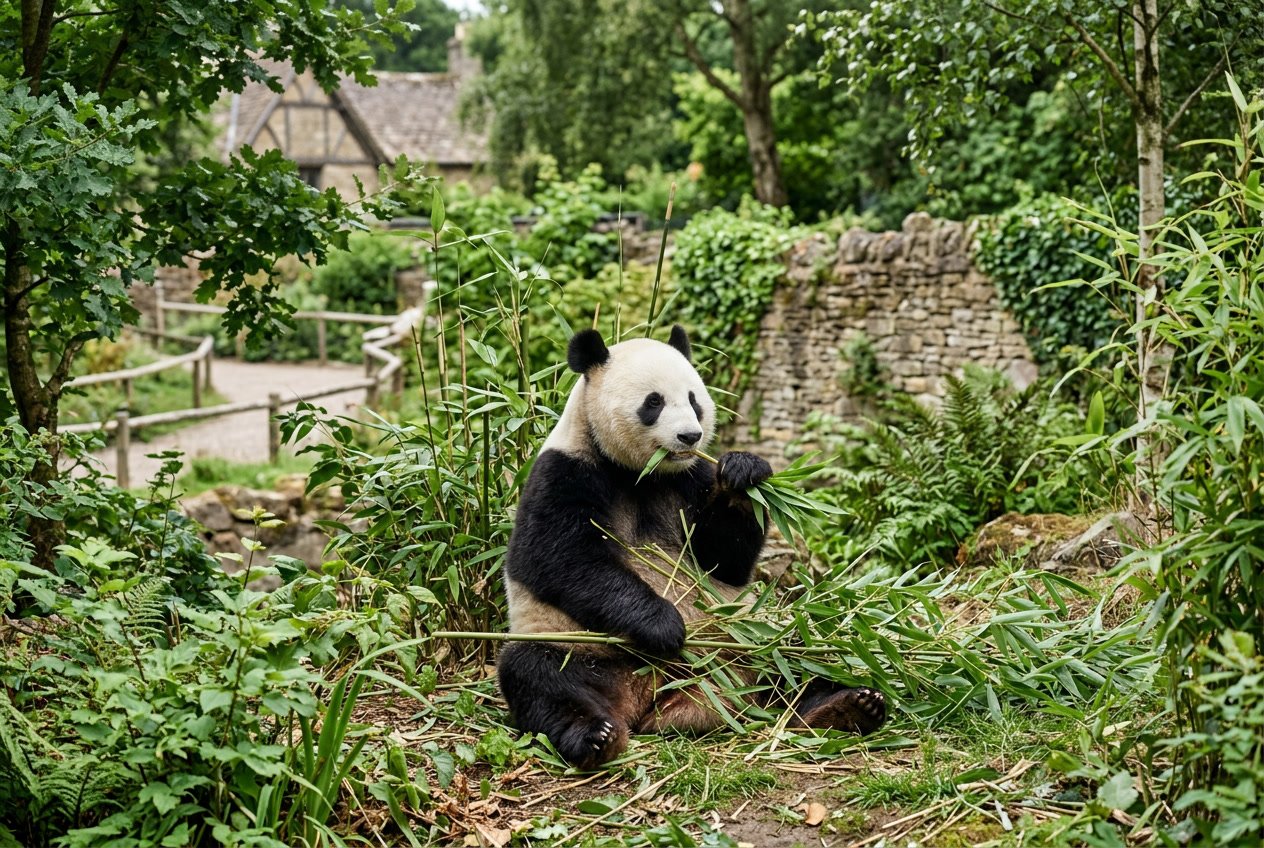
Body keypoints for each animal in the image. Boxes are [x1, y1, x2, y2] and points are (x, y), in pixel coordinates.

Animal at [497, 325, 887, 769]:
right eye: (654, 402)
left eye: (694, 400)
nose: (690, 436)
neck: (640, 474)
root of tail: (660, 696)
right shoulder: (564, 471)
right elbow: (558, 559)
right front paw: (665, 626)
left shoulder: (691, 476)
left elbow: (724, 561)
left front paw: (743, 473)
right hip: (575, 644)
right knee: (539, 676)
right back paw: (596, 737)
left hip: (747, 635)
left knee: (794, 655)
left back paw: (844, 706)